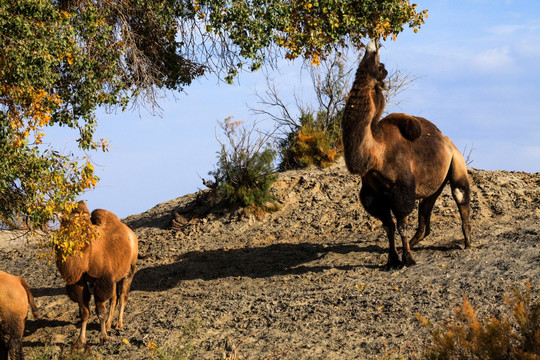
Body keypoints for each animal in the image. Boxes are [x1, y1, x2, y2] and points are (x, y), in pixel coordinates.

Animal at [55, 201, 138, 344]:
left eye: (82, 222)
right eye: (64, 222)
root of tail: (132, 235)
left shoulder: (102, 280)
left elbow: (100, 312)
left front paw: (103, 337)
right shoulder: (80, 281)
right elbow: (84, 312)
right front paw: (81, 339)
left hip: (130, 270)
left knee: (123, 296)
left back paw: (118, 324)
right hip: (114, 277)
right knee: (114, 298)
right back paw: (110, 324)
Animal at [344, 40, 470, 270]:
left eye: (380, 66)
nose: (373, 42)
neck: (377, 152)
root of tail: (447, 142)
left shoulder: (401, 189)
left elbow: (401, 225)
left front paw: (408, 260)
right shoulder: (374, 195)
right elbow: (388, 227)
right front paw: (392, 260)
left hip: (457, 161)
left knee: (460, 194)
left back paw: (468, 242)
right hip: (432, 187)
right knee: (425, 219)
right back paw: (414, 243)